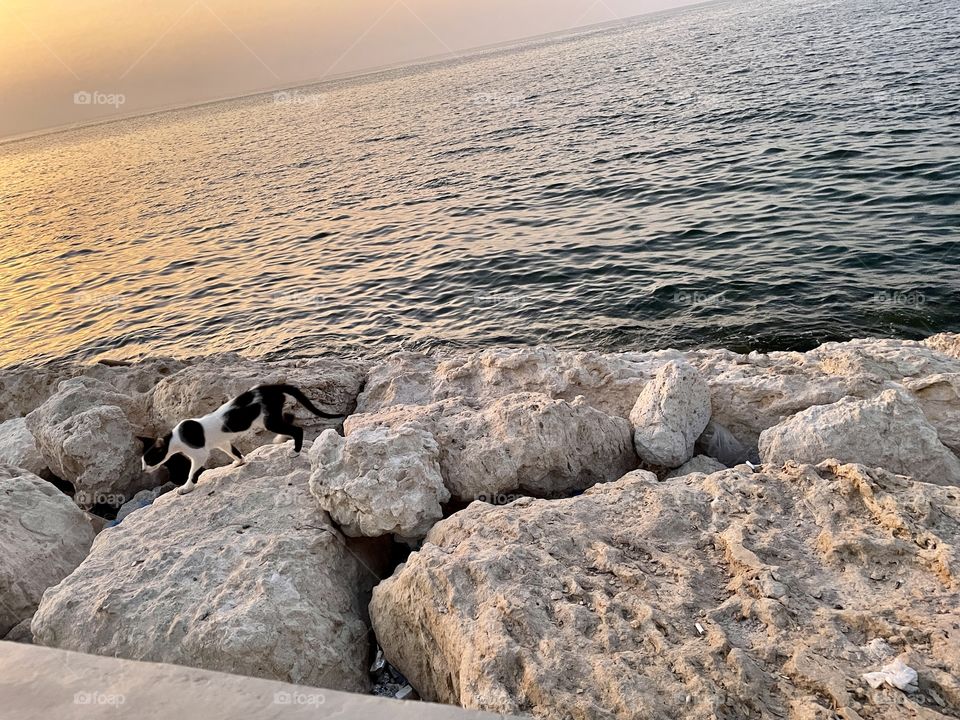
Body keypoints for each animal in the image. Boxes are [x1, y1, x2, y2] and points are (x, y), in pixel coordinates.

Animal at [141, 388, 340, 496]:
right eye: (142, 461)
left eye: (149, 459)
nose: (143, 470)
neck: (176, 438)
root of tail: (270, 387)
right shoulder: (222, 442)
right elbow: (234, 451)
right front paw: (239, 462)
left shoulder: (199, 454)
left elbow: (192, 472)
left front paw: (186, 488)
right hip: (273, 417)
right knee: (291, 417)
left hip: (269, 421)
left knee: (297, 429)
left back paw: (295, 451)